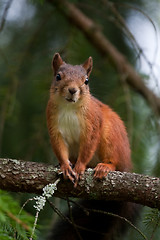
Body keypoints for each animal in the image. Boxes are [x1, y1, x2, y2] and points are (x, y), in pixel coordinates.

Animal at [47, 53, 132, 184]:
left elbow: (88, 147)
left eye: (86, 81)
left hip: (111, 137)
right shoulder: (54, 125)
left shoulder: (92, 123)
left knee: (114, 161)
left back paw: (104, 167)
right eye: (58, 77)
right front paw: (65, 166)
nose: (72, 90)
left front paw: (79, 167)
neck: (69, 107)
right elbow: (60, 148)